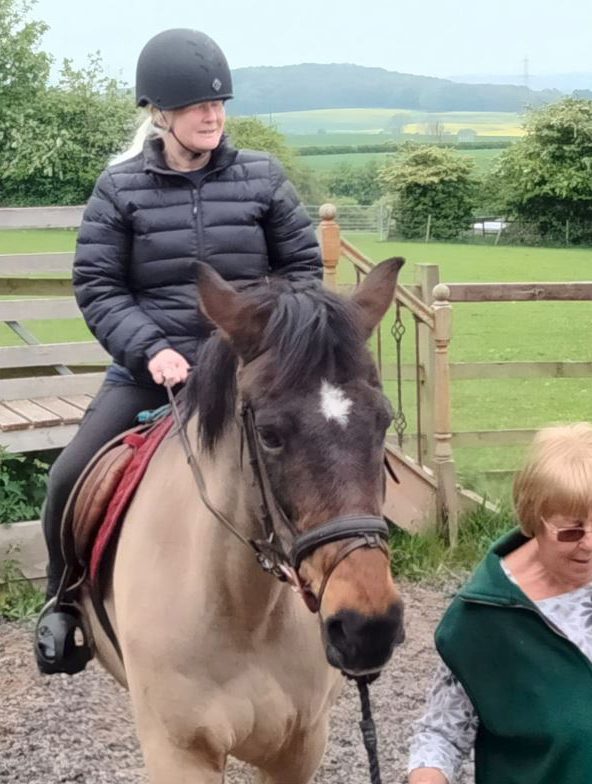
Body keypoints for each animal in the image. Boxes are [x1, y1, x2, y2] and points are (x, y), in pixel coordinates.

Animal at [83, 258, 404, 784]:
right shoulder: (180, 755)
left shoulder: (298, 749)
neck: (243, 611)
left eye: (383, 422)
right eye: (270, 434)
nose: (367, 625)